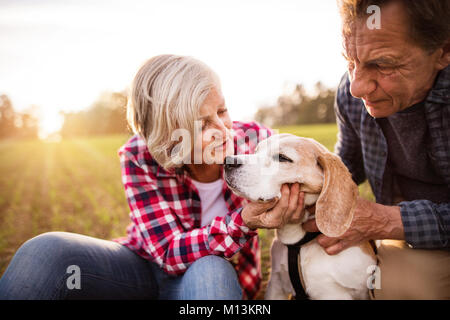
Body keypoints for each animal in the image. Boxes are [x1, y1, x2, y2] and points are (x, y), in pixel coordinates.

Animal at [224, 132, 376, 300]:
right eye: (256, 150)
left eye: (282, 158)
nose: (227, 161)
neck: (298, 243)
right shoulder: (276, 285)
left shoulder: (334, 293)